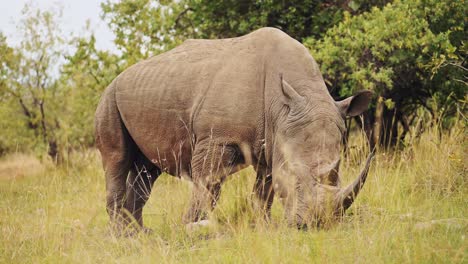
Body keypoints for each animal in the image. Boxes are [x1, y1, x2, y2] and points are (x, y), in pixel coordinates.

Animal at [94, 27, 372, 233]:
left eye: (339, 171)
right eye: (294, 174)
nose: (316, 224)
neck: (284, 105)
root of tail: (120, 75)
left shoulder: (273, 140)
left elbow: (264, 190)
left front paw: (263, 226)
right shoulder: (217, 138)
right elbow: (207, 185)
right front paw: (189, 227)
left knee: (147, 170)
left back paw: (140, 233)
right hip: (109, 97)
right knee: (117, 159)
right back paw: (123, 235)